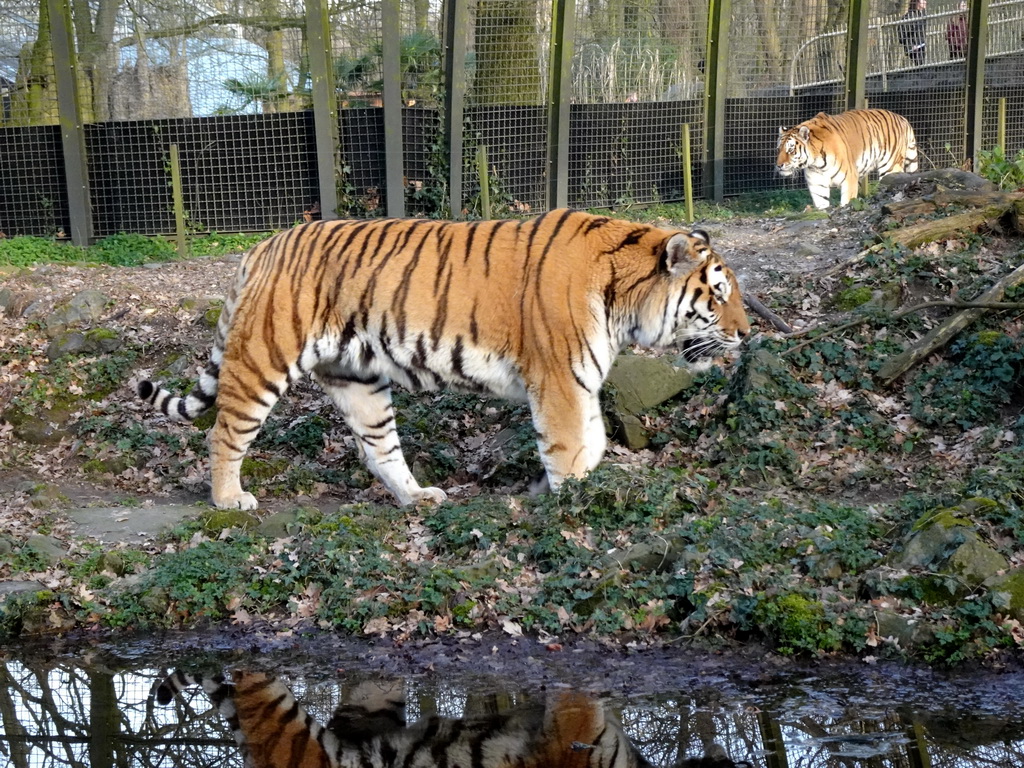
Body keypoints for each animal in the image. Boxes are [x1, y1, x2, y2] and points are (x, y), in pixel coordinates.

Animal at [136, 210, 749, 512]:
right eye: (718, 296)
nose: (746, 333)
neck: (626, 300)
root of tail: (261, 247)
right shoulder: (559, 380)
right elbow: (571, 446)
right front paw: (573, 501)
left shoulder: (580, 382)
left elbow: (593, 442)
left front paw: (569, 488)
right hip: (263, 360)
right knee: (224, 434)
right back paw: (229, 499)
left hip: (358, 379)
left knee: (380, 449)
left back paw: (417, 498)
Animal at [774, 107, 921, 210]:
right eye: (778, 149)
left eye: (791, 150)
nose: (779, 165)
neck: (815, 162)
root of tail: (902, 118)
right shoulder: (817, 183)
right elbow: (821, 204)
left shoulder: (849, 178)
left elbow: (847, 201)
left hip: (889, 167)